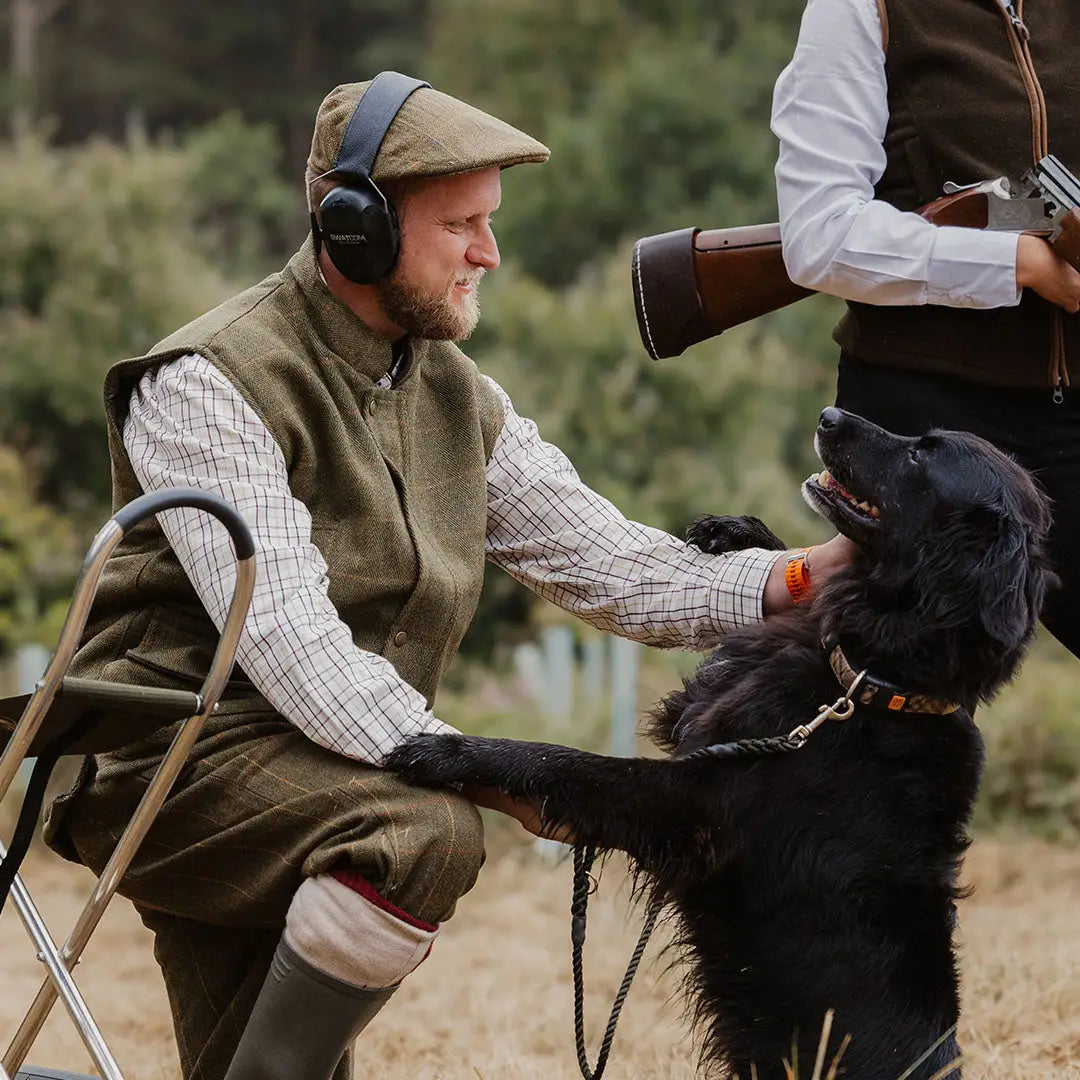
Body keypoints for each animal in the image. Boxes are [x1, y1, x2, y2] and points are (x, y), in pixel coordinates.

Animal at [388, 406, 1054, 1080]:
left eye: (922, 454)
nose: (828, 415)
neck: (873, 685)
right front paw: (740, 532)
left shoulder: (694, 802)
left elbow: (570, 764)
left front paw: (452, 751)